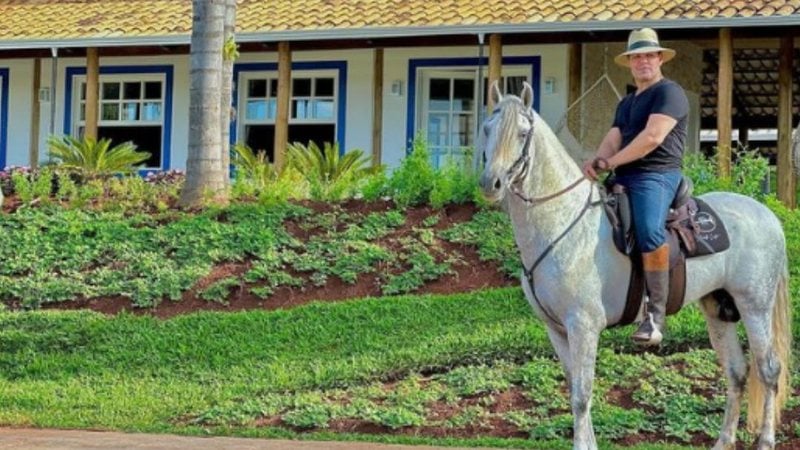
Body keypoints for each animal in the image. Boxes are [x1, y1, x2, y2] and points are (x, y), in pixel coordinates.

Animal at [478, 81, 792, 450]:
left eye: (522, 133)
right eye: (487, 128)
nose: (491, 184)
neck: (564, 225)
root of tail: (766, 213)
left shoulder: (584, 326)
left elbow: (581, 396)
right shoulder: (556, 329)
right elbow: (575, 389)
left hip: (755, 306)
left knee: (769, 369)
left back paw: (765, 440)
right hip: (718, 309)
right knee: (737, 372)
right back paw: (723, 441)